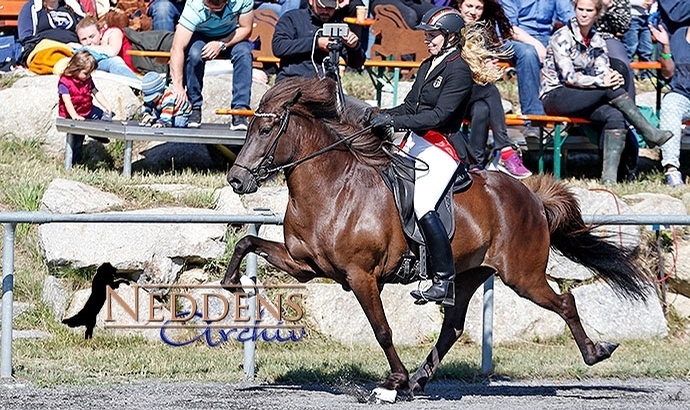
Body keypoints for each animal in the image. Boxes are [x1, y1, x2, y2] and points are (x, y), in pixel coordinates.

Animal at [220, 77, 644, 398]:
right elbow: (246, 243)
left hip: (523, 275)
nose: (236, 181)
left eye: (266, 130)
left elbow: (382, 329)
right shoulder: (304, 265)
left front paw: (393, 380)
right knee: (452, 327)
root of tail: (532, 197)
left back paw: (596, 352)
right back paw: (419, 381)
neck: (333, 187)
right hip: (470, 272)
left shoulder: (361, 276)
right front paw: (233, 285)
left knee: (565, 302)